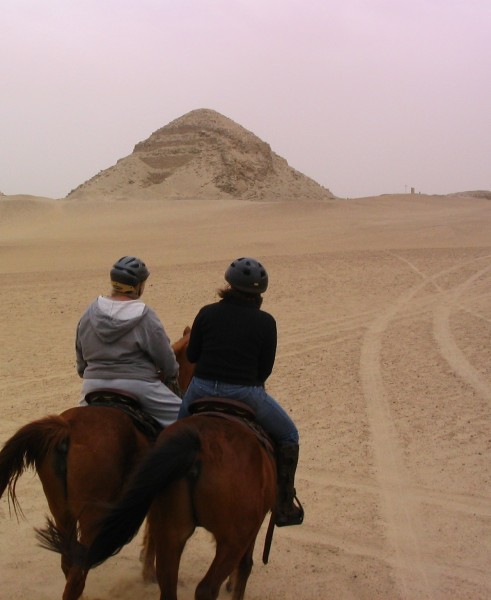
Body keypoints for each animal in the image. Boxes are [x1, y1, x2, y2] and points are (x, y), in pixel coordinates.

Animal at [0, 326, 192, 600]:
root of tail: (66, 428)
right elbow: (155, 534)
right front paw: (149, 574)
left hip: (62, 512)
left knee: (68, 563)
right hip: (92, 517)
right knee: (77, 575)